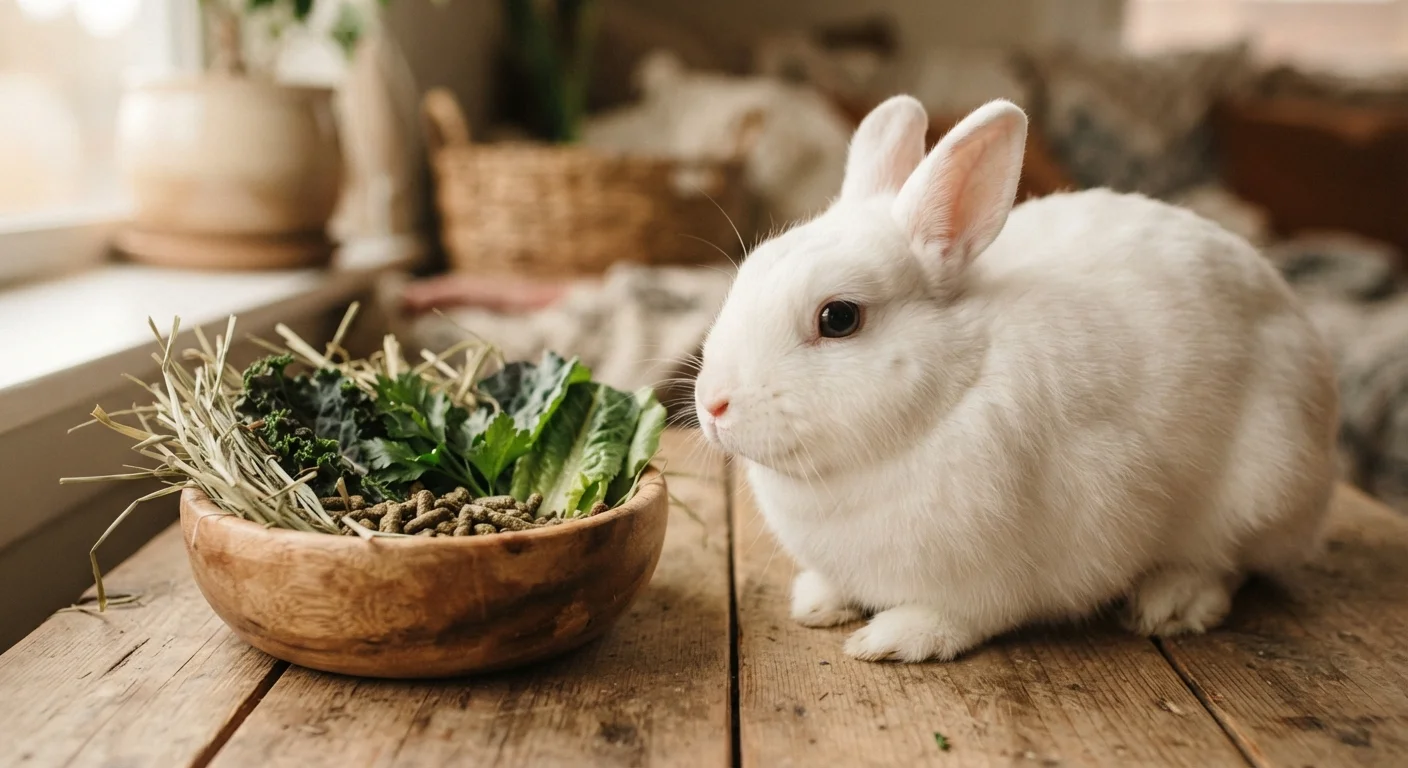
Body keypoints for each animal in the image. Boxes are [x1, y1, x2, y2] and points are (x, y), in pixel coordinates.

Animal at [693, 95, 1338, 663]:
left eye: (839, 318)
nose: (712, 404)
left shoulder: (1016, 566)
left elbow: (968, 615)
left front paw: (894, 639)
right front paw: (818, 602)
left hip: (1262, 485)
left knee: (1231, 563)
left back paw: (1172, 603)